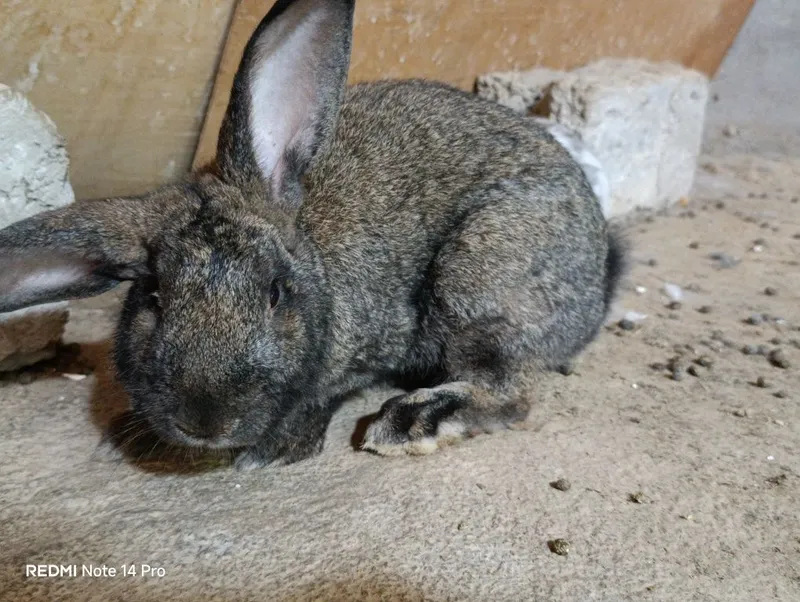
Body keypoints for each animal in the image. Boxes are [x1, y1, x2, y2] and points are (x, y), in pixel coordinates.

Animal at [0, 0, 625, 469]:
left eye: (276, 293)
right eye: (152, 298)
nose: (206, 423)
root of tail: (598, 280)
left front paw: (275, 449)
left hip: (479, 272)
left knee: (510, 390)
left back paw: (409, 422)